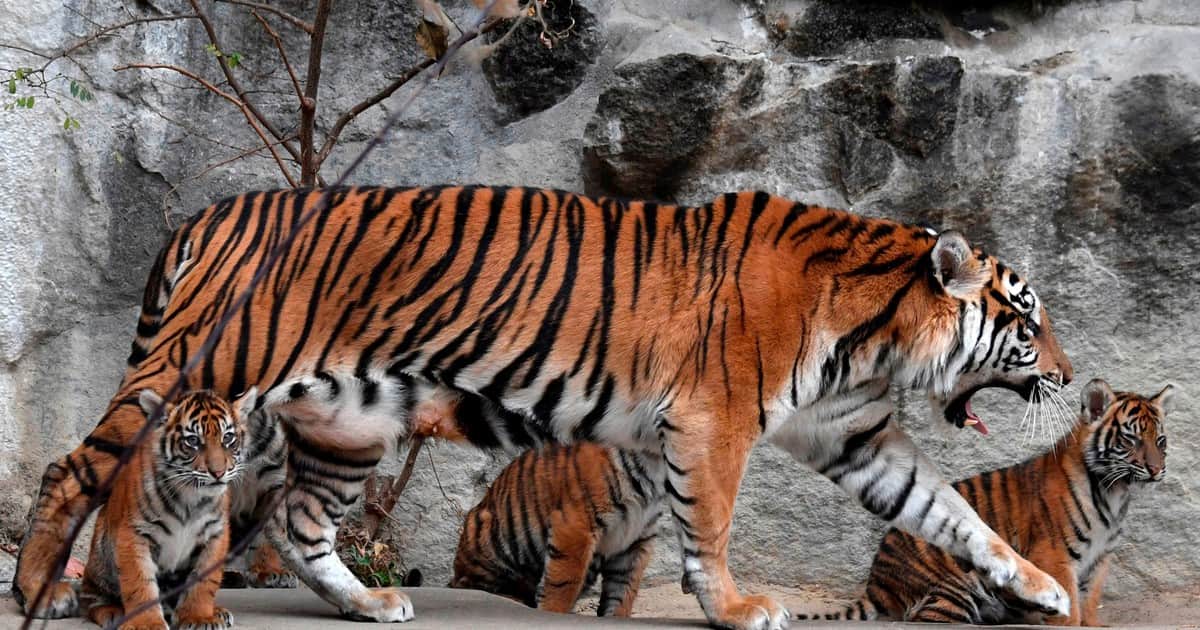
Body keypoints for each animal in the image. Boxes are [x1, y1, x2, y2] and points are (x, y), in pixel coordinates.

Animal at [81, 388, 255, 630]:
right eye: (193, 441)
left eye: (227, 438)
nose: (218, 473)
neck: (191, 498)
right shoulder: (135, 533)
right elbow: (139, 582)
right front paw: (145, 623)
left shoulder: (215, 535)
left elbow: (203, 582)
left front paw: (199, 617)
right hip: (100, 553)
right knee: (91, 598)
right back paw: (113, 612)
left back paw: (216, 612)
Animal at [450, 443, 664, 617]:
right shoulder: (575, 524)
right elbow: (563, 583)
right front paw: (552, 612)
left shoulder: (636, 542)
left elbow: (624, 592)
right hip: (490, 536)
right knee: (470, 586)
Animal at [796, 378, 1173, 625]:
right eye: (1131, 439)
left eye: (1161, 440)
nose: (1157, 470)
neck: (1115, 493)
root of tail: (875, 580)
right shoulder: (1054, 555)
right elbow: (1068, 608)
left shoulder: (1100, 560)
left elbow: (1090, 604)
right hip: (958, 582)